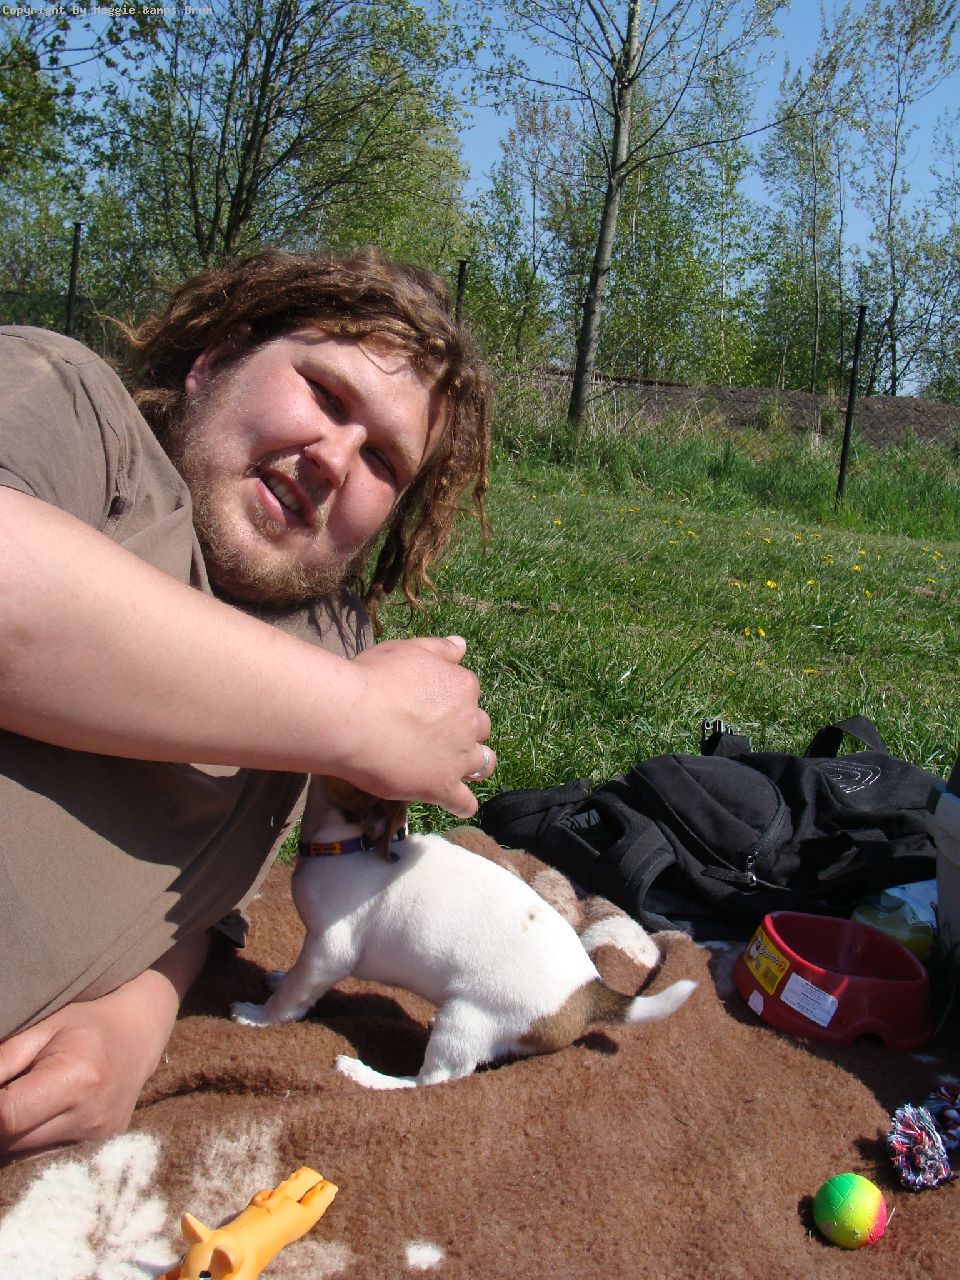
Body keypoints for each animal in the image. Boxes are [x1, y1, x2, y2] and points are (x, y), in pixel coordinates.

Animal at [231, 777, 696, 1089]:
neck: (348, 845)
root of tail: (588, 992)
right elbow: (294, 980)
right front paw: (277, 979)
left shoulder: (328, 951)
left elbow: (293, 997)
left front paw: (258, 1016)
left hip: (464, 1021)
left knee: (429, 1083)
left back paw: (365, 1075)